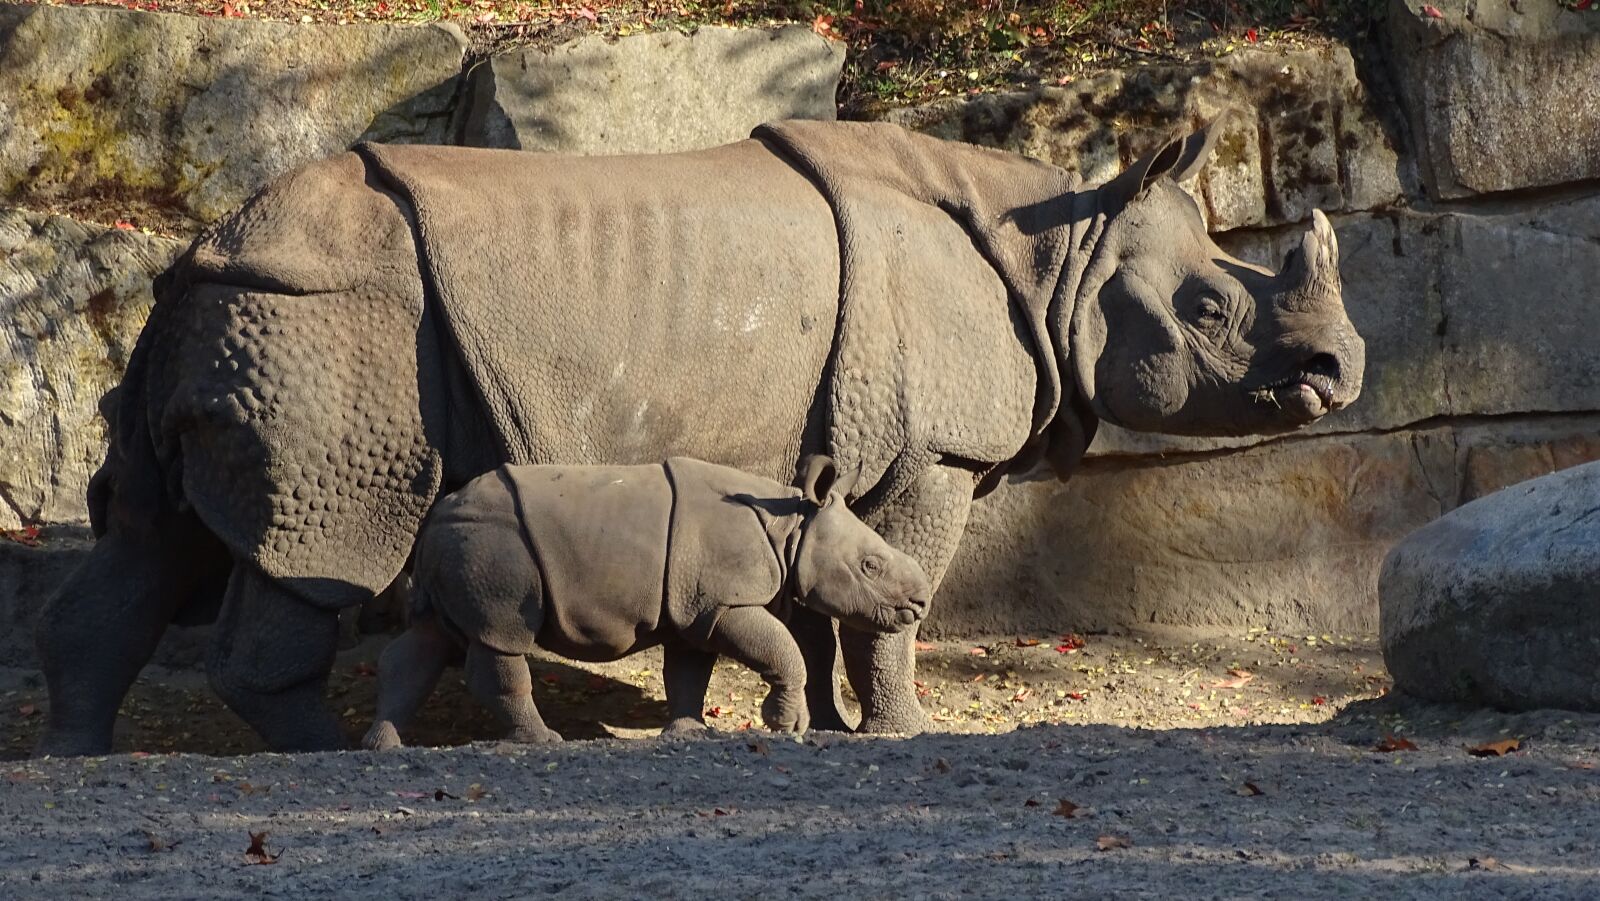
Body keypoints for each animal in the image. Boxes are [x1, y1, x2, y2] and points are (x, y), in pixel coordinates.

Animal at [363, 455, 930, 749]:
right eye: (870, 566)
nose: (920, 603)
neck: (790, 527)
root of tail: (433, 523)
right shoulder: (726, 601)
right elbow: (782, 649)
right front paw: (786, 726)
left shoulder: (697, 608)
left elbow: (688, 671)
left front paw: (689, 734)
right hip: (490, 549)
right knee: (498, 640)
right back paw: (543, 741)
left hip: (462, 547)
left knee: (427, 639)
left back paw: (383, 746)